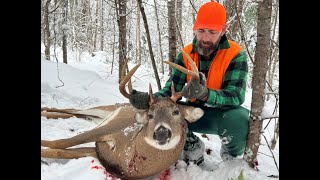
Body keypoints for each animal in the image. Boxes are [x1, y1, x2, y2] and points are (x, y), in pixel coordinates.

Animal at [40, 57, 202, 179]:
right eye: (150, 115)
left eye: (176, 112)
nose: (161, 133)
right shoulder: (111, 128)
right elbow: (61, 142)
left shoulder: (99, 151)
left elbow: (60, 151)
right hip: (109, 111)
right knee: (73, 110)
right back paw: (44, 110)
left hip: (100, 116)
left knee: (76, 113)